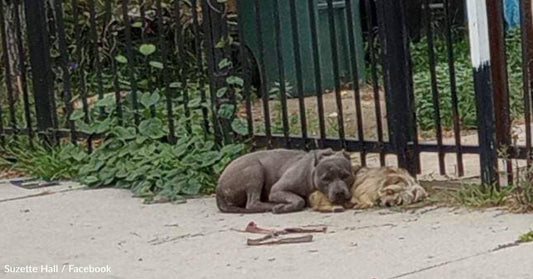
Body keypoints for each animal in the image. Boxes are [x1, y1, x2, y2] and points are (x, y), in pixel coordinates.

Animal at [214, 149, 356, 214]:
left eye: (345, 176)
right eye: (326, 179)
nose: (339, 193)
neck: (311, 172)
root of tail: (218, 188)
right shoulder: (277, 190)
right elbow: (299, 200)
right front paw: (284, 207)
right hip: (255, 170)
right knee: (252, 203)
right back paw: (273, 206)